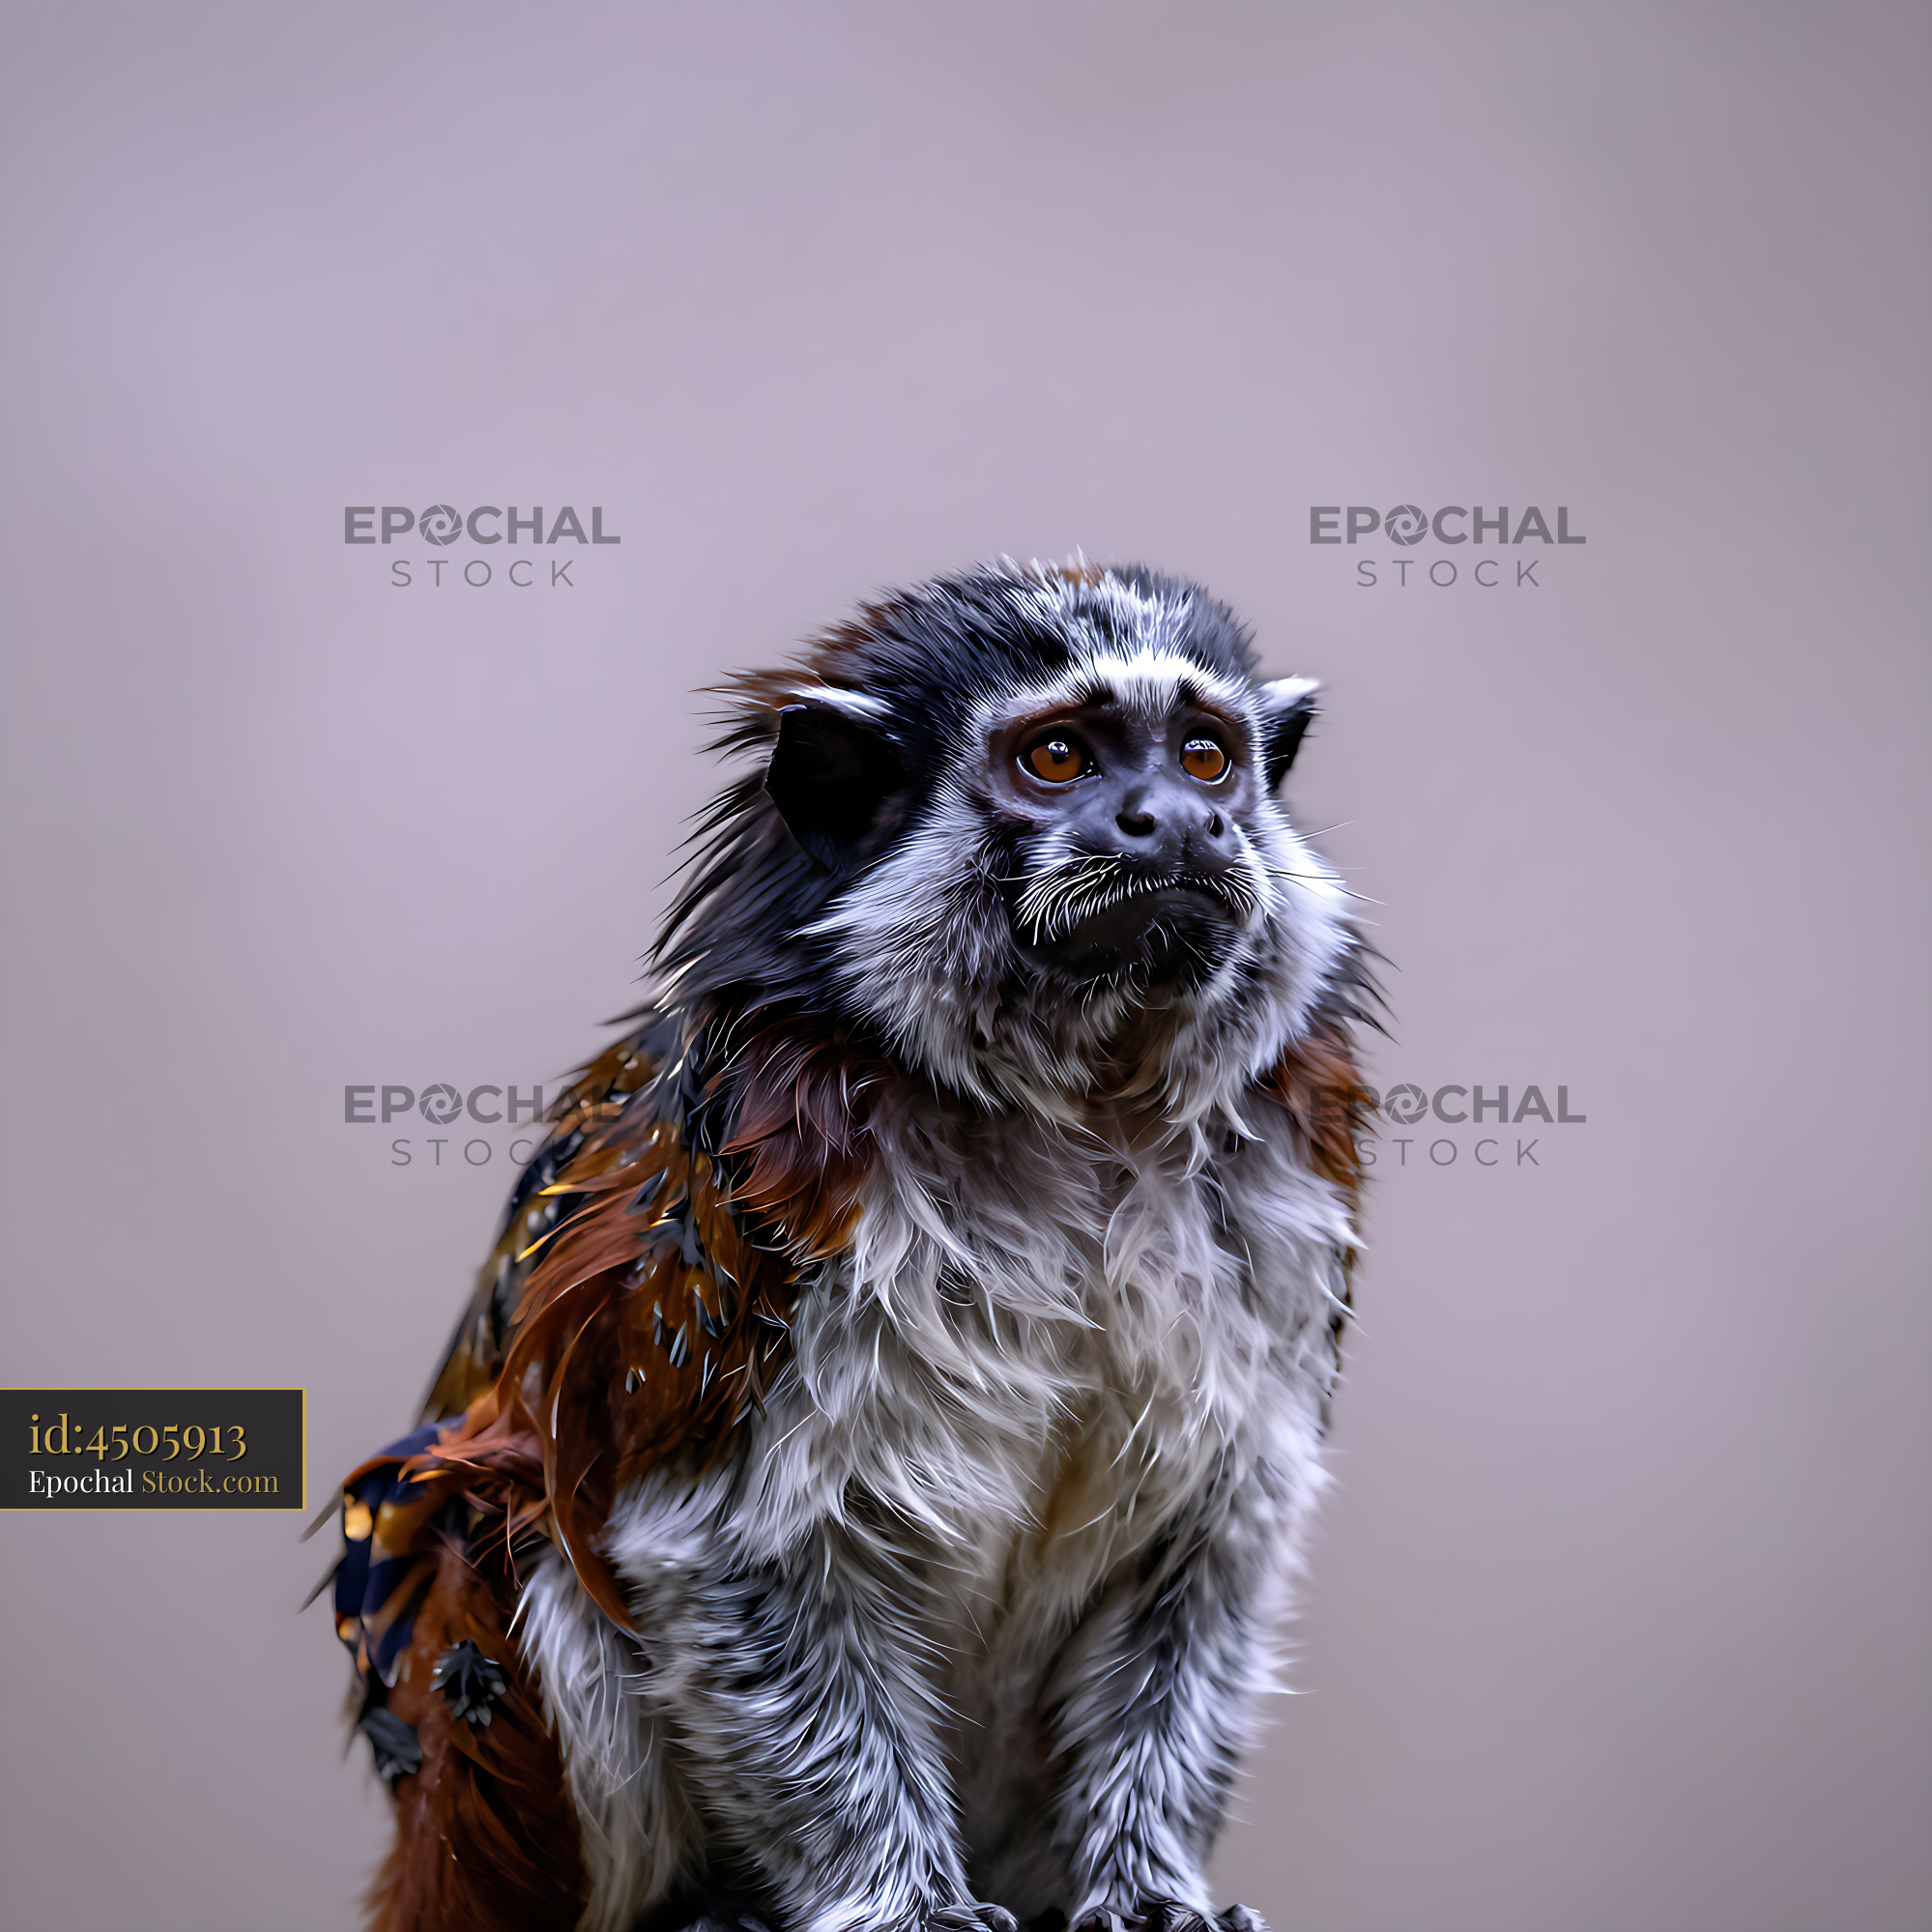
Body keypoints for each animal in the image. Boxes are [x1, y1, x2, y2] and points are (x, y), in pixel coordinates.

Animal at [327, 560, 1376, 1932]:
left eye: (1205, 756)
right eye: (1057, 757)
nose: (1180, 825)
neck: (1078, 1109)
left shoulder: (1288, 1212)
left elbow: (1207, 1544)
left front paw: (1150, 1887)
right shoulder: (749, 1233)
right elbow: (722, 1544)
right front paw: (903, 1901)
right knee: (499, 1518)